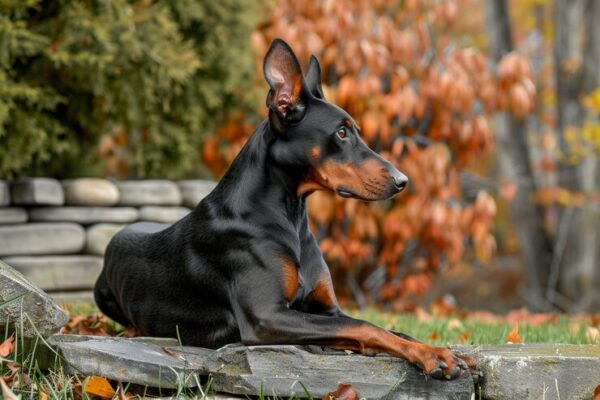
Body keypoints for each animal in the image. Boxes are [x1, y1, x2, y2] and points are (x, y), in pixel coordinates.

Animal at [95, 39, 478, 380]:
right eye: (341, 133)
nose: (403, 180)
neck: (289, 214)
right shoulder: (267, 316)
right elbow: (365, 325)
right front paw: (433, 356)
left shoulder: (328, 308)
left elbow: (388, 329)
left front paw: (449, 352)